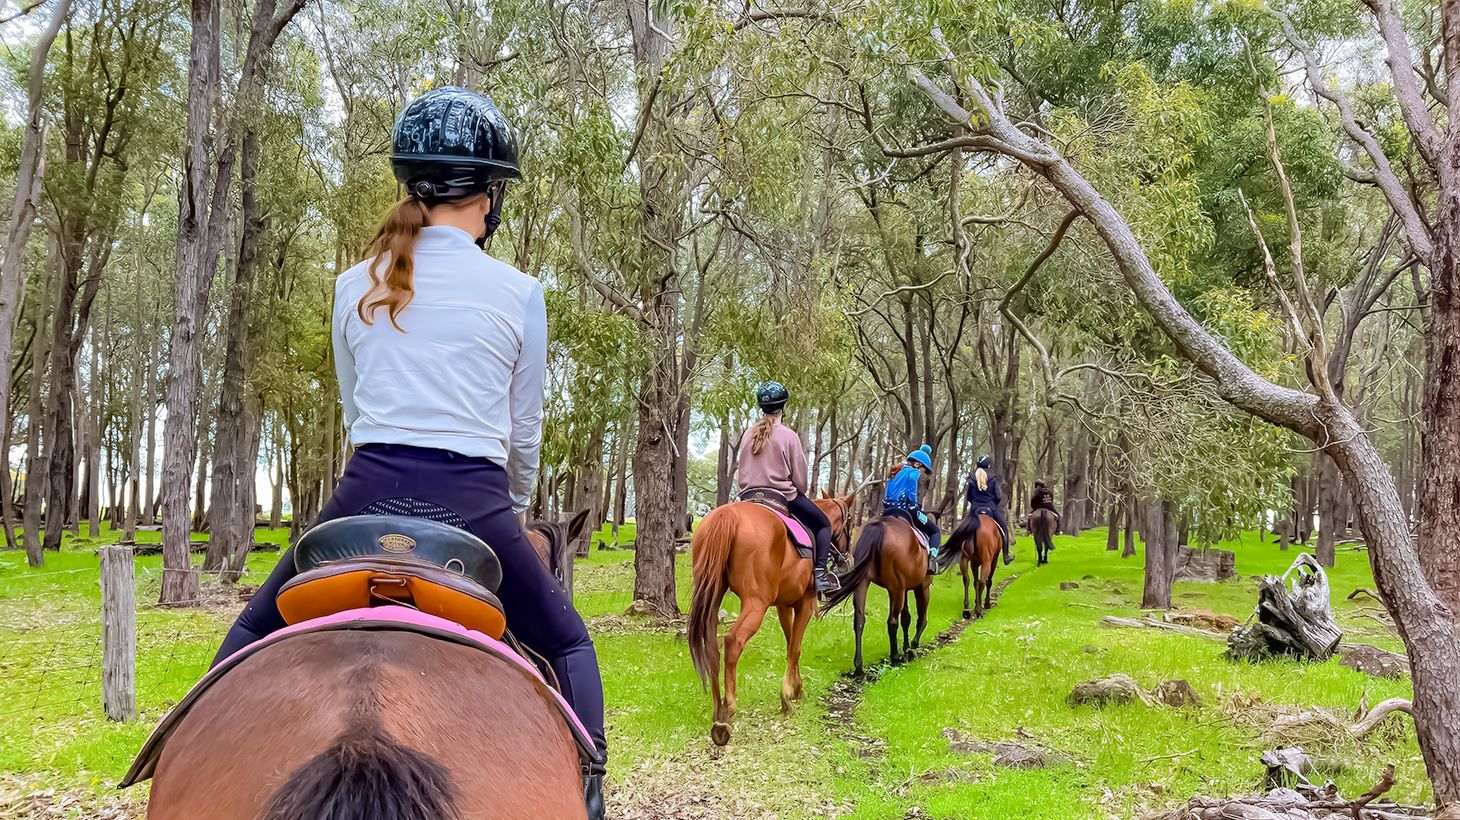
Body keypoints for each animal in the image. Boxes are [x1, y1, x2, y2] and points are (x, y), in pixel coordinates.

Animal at [686, 492, 855, 746]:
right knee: (733, 641)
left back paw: (718, 711)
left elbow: (790, 644)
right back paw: (728, 711)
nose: (848, 558)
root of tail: (727, 515)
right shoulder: (805, 604)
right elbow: (795, 647)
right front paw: (787, 697)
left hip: (713, 594)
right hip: (756, 603)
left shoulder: (784, 605)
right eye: (851, 523)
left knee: (712, 646)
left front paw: (796, 689)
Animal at [819, 514, 931, 675]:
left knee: (859, 619)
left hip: (863, 583)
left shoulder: (904, 588)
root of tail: (880, 525)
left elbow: (906, 618)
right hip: (897, 588)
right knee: (892, 621)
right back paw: (895, 655)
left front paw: (906, 647)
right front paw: (911, 647)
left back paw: (859, 666)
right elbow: (919, 619)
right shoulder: (921, 587)